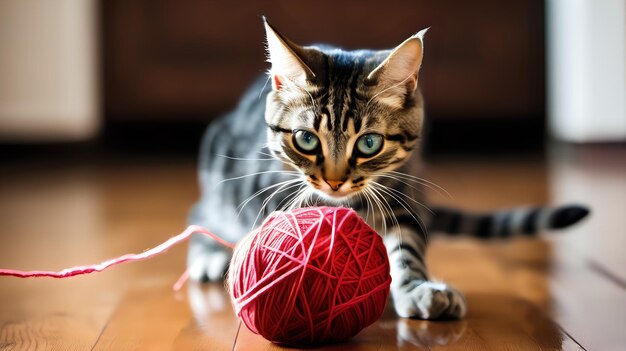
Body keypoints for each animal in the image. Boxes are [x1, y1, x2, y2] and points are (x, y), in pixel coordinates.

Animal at [185, 18, 584, 322]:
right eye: (306, 139)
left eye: (369, 144)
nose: (334, 181)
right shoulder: (271, 191)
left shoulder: (403, 193)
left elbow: (407, 245)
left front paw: (417, 288)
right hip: (218, 169)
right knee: (201, 213)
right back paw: (209, 255)